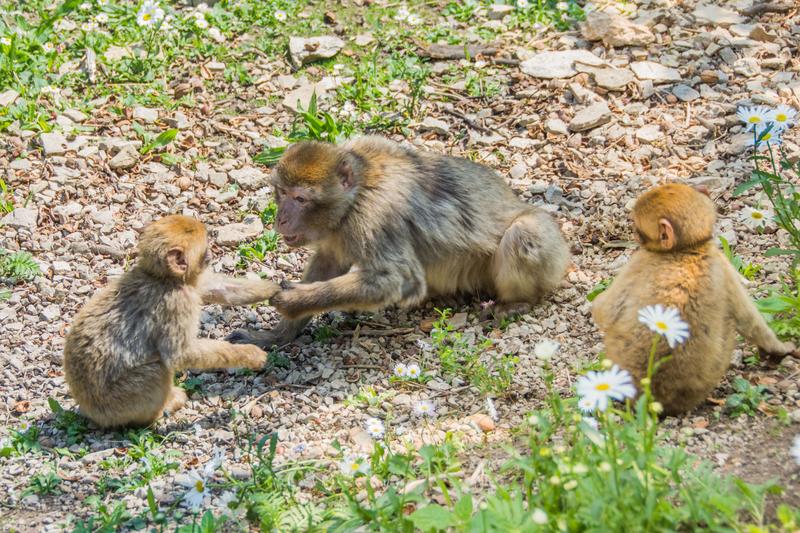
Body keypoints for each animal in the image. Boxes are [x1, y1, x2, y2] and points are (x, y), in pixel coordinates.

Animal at [64, 214, 280, 426]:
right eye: (205, 248)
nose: (211, 254)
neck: (163, 279)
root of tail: (89, 411)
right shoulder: (177, 303)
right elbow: (181, 354)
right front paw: (251, 355)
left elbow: (219, 289)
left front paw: (278, 289)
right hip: (118, 403)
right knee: (157, 370)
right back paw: (162, 409)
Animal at [228, 135, 572, 348]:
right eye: (282, 193)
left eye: (300, 199)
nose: (281, 219)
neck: (356, 194)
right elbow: (329, 262)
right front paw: (278, 335)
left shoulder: (374, 217)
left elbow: (397, 280)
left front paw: (293, 301)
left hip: (548, 247)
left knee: (524, 232)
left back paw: (518, 302)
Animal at [592, 184, 796, 416]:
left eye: (638, 229)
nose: (635, 238)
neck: (688, 250)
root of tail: (657, 396)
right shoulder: (721, 265)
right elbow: (750, 321)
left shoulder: (642, 260)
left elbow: (603, 310)